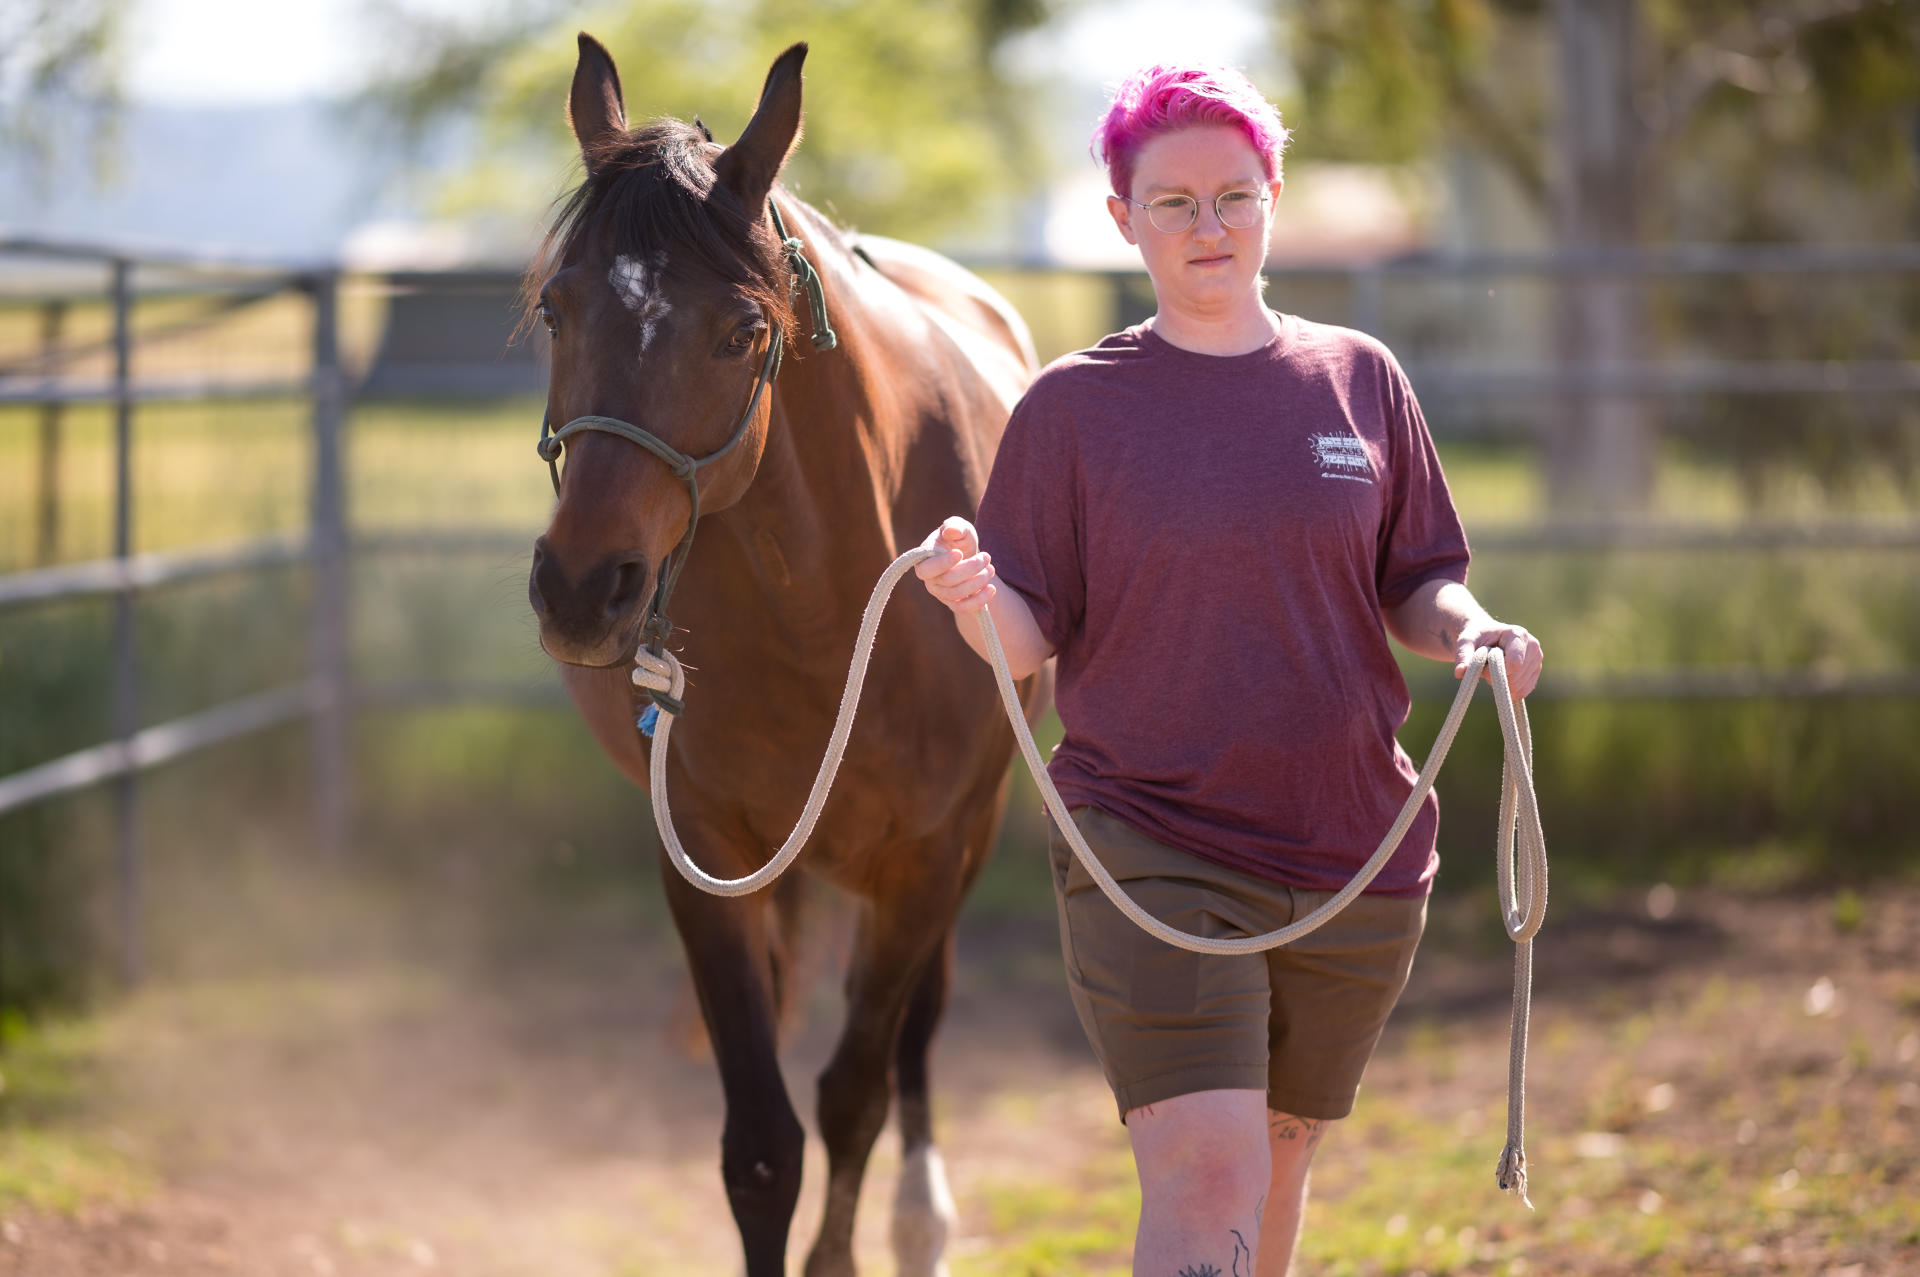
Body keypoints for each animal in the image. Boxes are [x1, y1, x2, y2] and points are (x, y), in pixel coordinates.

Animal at [526, 32, 1044, 1275]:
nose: (581, 587)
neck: (832, 601)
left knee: (915, 1033)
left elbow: (855, 1091)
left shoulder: (928, 856)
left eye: (743, 332)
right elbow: (762, 1144)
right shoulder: (703, 856)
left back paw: (920, 1218)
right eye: (558, 309)